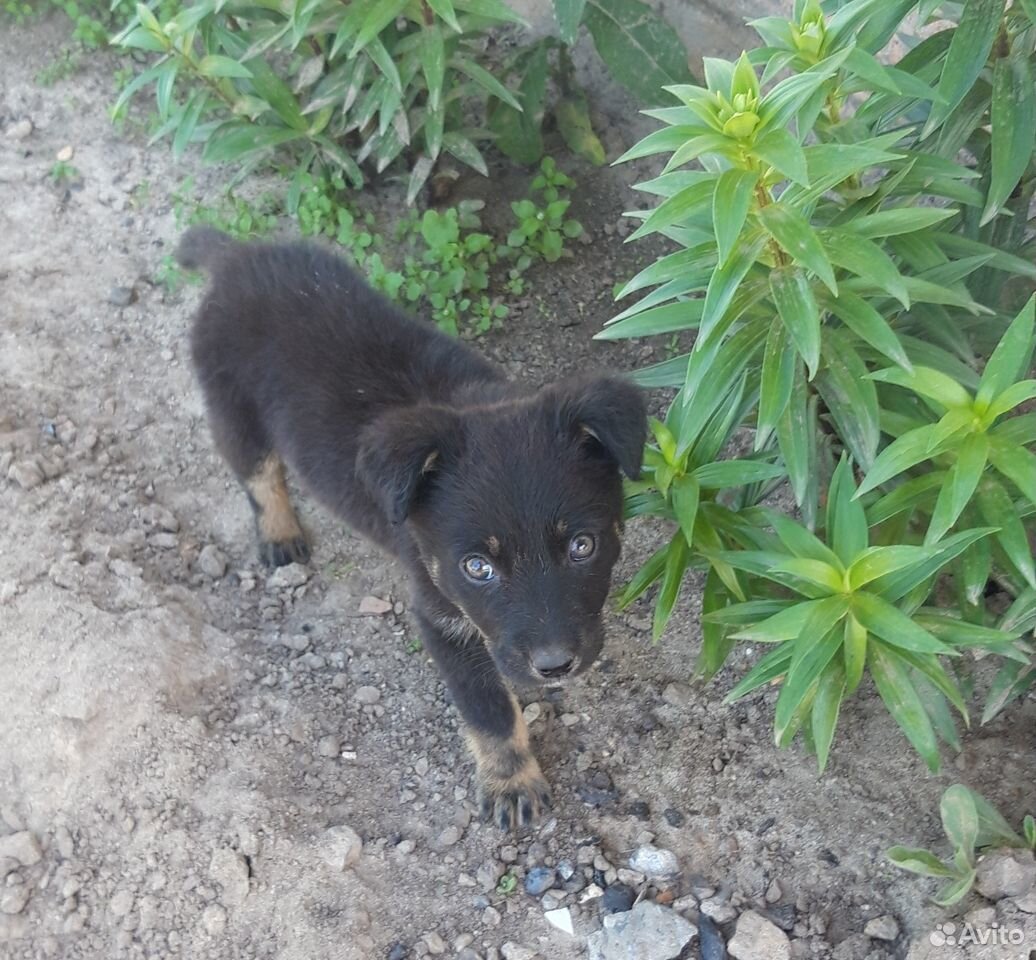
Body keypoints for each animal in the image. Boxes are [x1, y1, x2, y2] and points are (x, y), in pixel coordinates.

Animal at [179, 228, 646, 828]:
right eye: (478, 567)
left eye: (583, 546)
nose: (554, 666)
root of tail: (236, 256)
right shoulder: (440, 616)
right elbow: (488, 708)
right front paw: (510, 780)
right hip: (233, 407)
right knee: (258, 475)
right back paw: (280, 532)